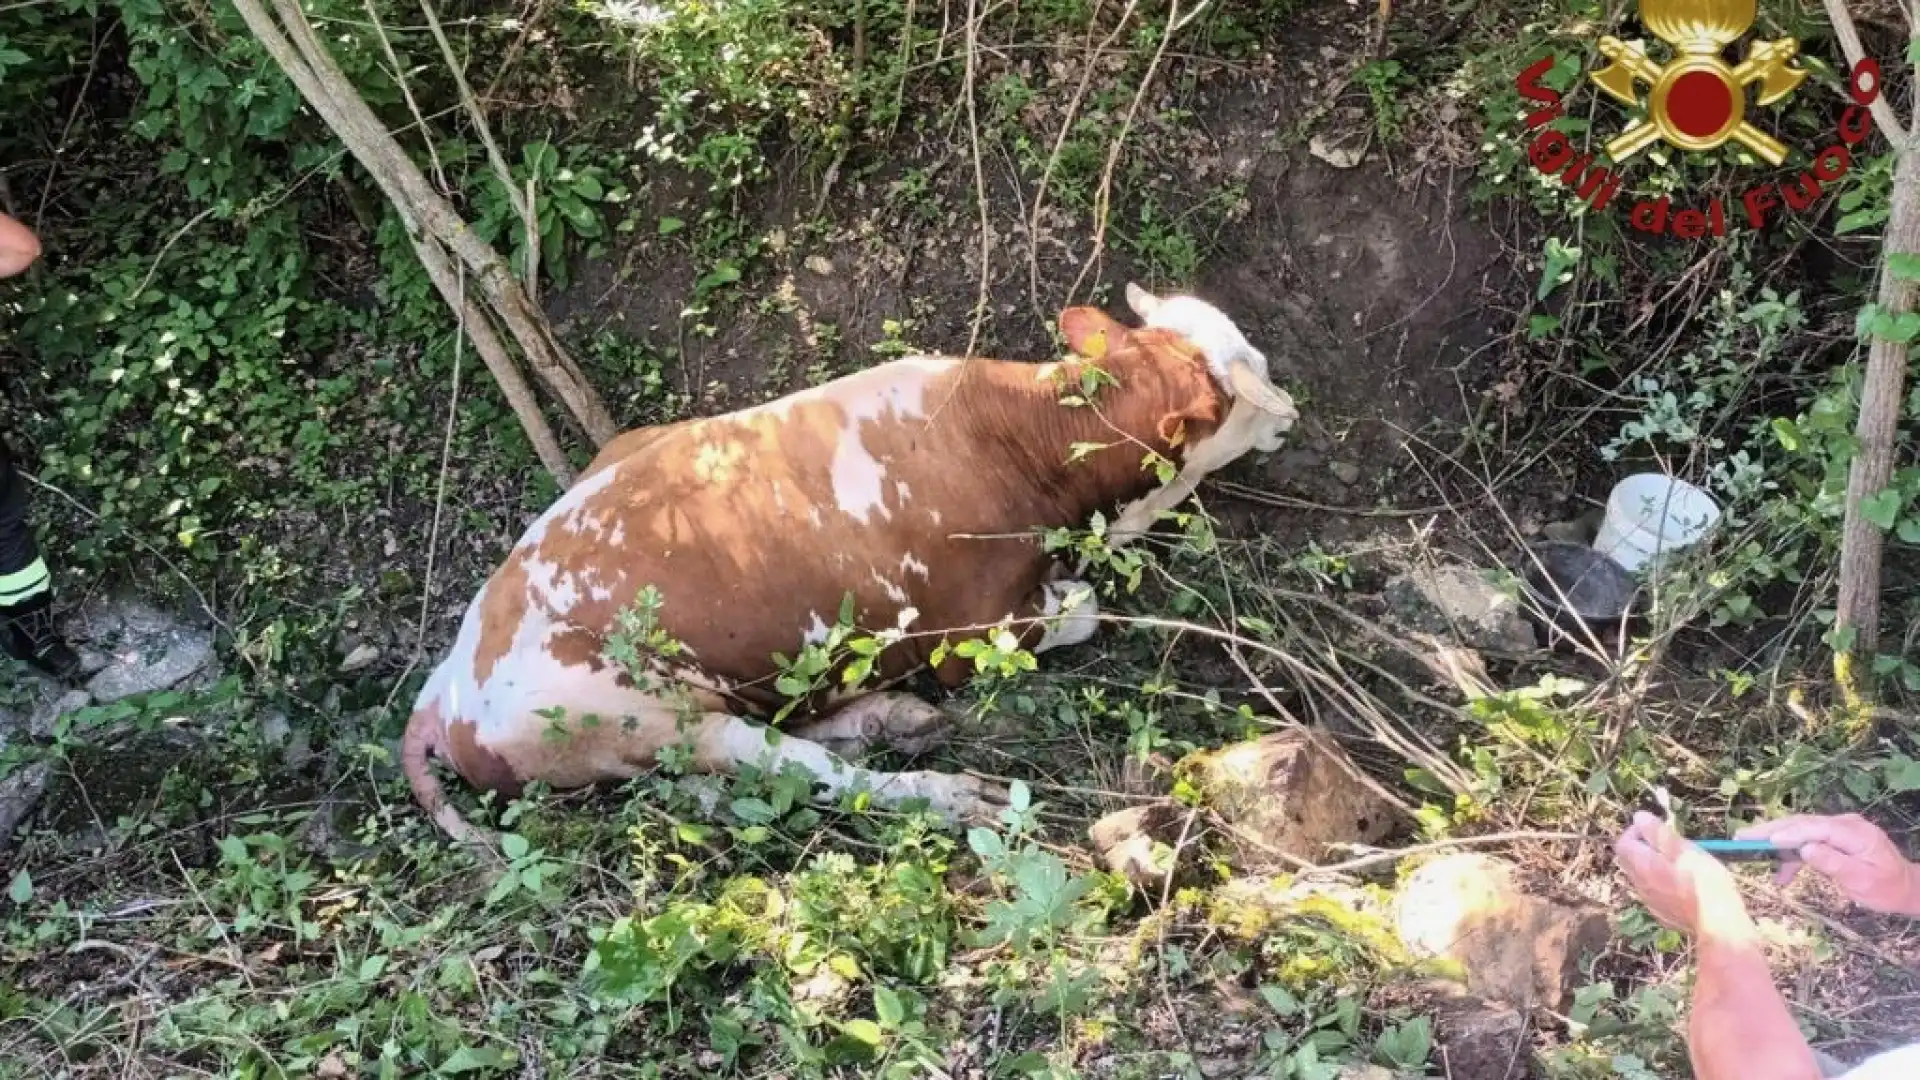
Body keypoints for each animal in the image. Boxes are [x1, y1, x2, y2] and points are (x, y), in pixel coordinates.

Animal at [405, 284, 1305, 841]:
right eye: (1255, 374)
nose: (1294, 411)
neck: (1022, 441)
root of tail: (449, 682)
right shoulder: (964, 637)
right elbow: (1080, 608)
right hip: (647, 716)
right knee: (788, 769)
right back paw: (948, 790)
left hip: (636, 446)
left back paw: (887, 718)